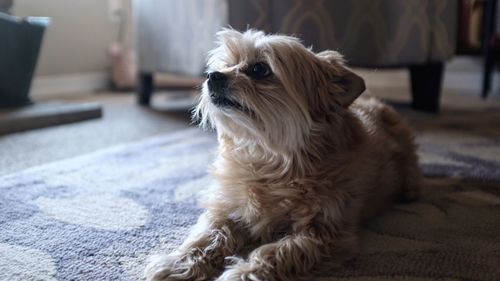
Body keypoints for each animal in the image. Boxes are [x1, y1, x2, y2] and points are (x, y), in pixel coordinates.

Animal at [146, 29, 422, 280]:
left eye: (259, 69)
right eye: (224, 65)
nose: (212, 75)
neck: (268, 160)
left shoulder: (323, 234)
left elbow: (276, 252)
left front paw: (243, 273)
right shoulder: (225, 210)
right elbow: (206, 236)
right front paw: (179, 263)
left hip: (405, 142)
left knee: (412, 167)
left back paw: (410, 189)